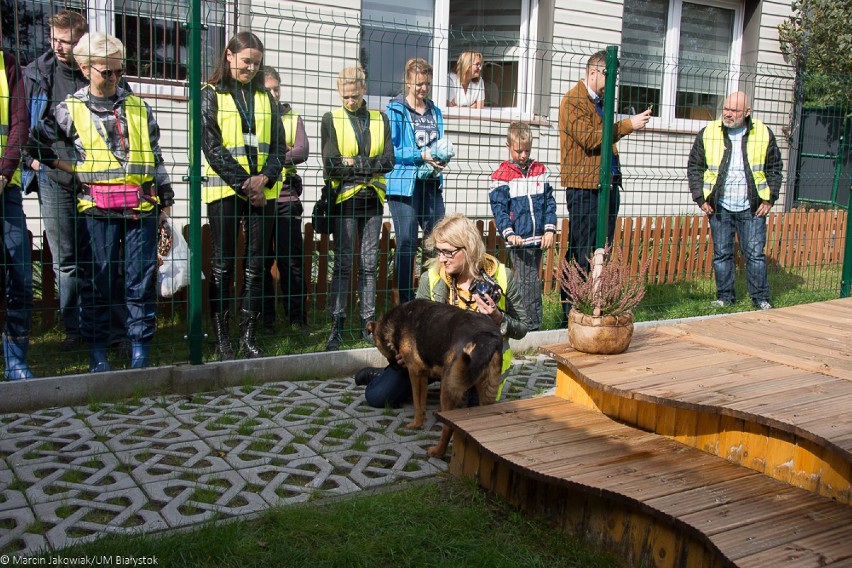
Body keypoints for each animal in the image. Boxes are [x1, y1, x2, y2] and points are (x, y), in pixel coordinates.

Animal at [362, 300, 502, 460]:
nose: (392, 367)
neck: (396, 321)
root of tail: (486, 337)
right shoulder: (423, 375)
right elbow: (422, 402)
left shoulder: (414, 372)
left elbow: (417, 403)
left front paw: (416, 424)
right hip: (486, 392)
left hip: (449, 385)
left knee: (448, 427)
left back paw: (438, 451)